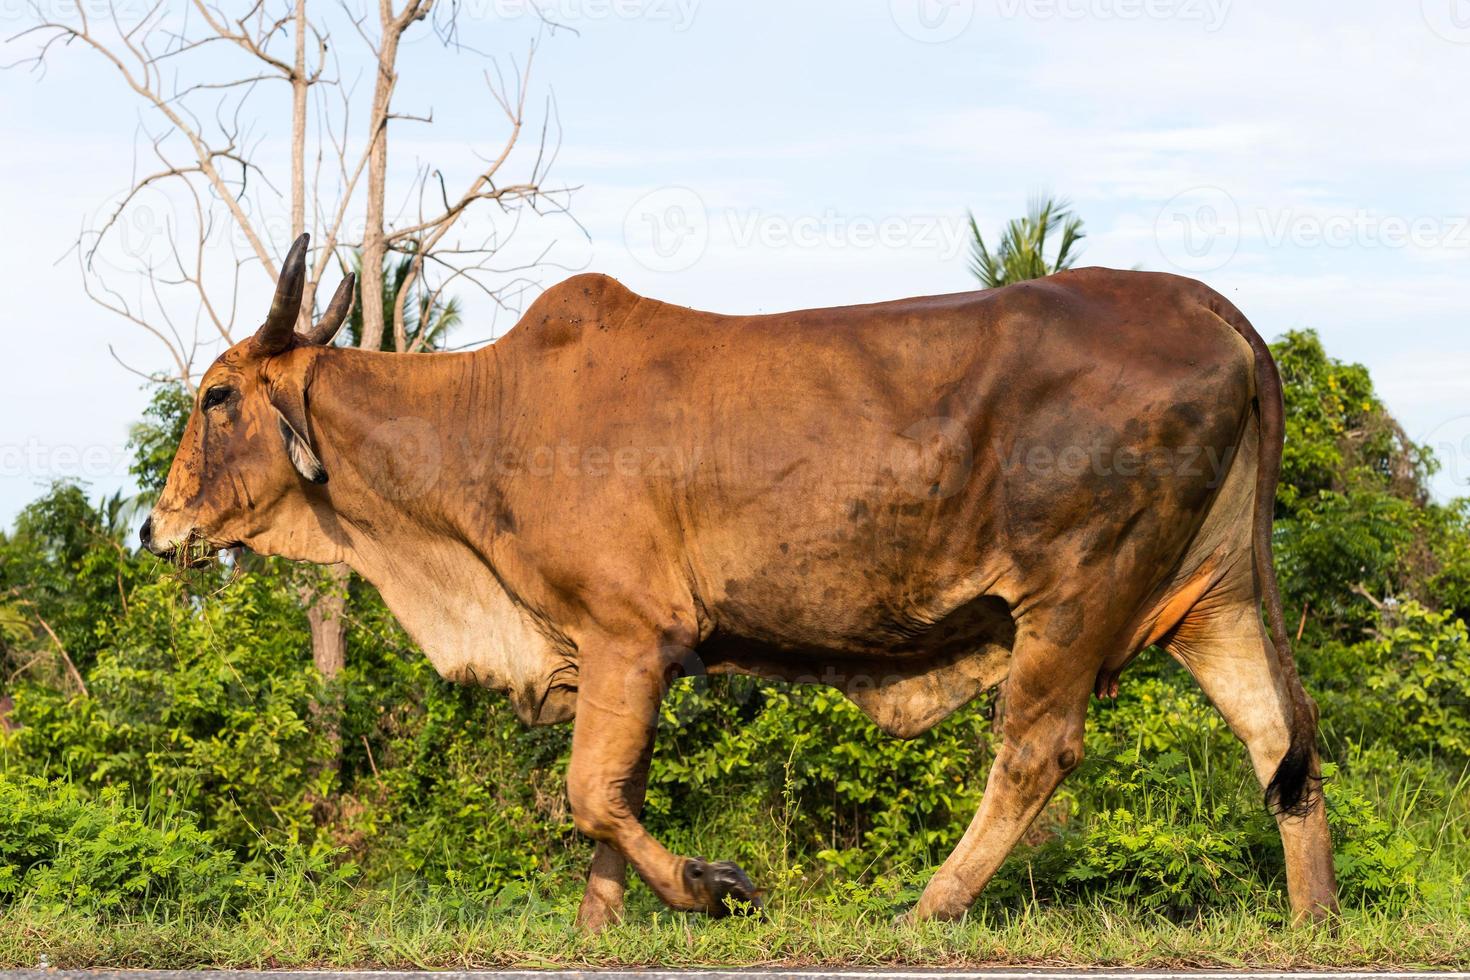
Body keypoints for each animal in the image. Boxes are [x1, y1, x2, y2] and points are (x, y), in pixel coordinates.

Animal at [149, 233, 1346, 922]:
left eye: (217, 394)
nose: (160, 529)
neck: (481, 422)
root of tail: (1205, 306)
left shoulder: (629, 634)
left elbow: (592, 794)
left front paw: (709, 886)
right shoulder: (612, 653)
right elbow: (607, 805)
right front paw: (601, 931)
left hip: (1073, 595)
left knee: (1036, 751)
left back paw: (928, 907)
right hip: (1212, 595)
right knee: (1278, 740)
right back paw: (1312, 919)